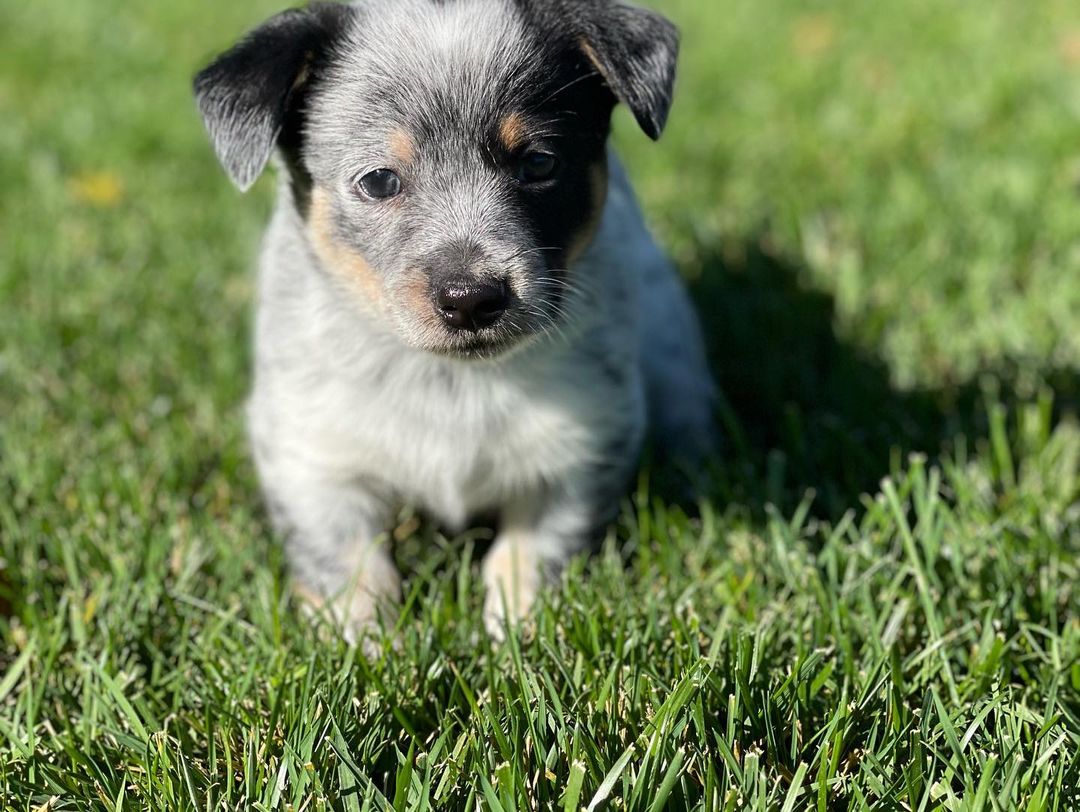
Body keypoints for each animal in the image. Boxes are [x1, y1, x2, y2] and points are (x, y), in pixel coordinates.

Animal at [194, 0, 717, 639]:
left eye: (539, 163)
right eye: (379, 180)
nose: (470, 297)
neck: (449, 382)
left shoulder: (581, 448)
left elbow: (531, 553)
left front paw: (517, 633)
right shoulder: (311, 453)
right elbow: (349, 564)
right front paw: (364, 646)